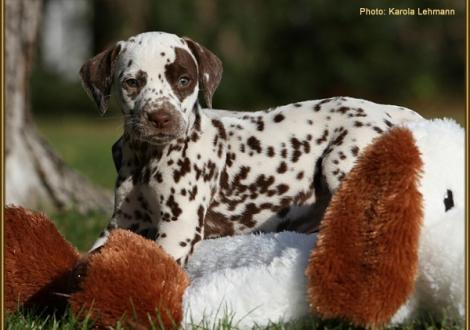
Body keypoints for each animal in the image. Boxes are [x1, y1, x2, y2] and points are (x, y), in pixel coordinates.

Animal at [81, 32, 422, 264]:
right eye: (132, 82)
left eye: (184, 80)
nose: (160, 117)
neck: (146, 158)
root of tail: (395, 111)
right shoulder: (123, 222)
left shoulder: (179, 227)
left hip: (339, 161)